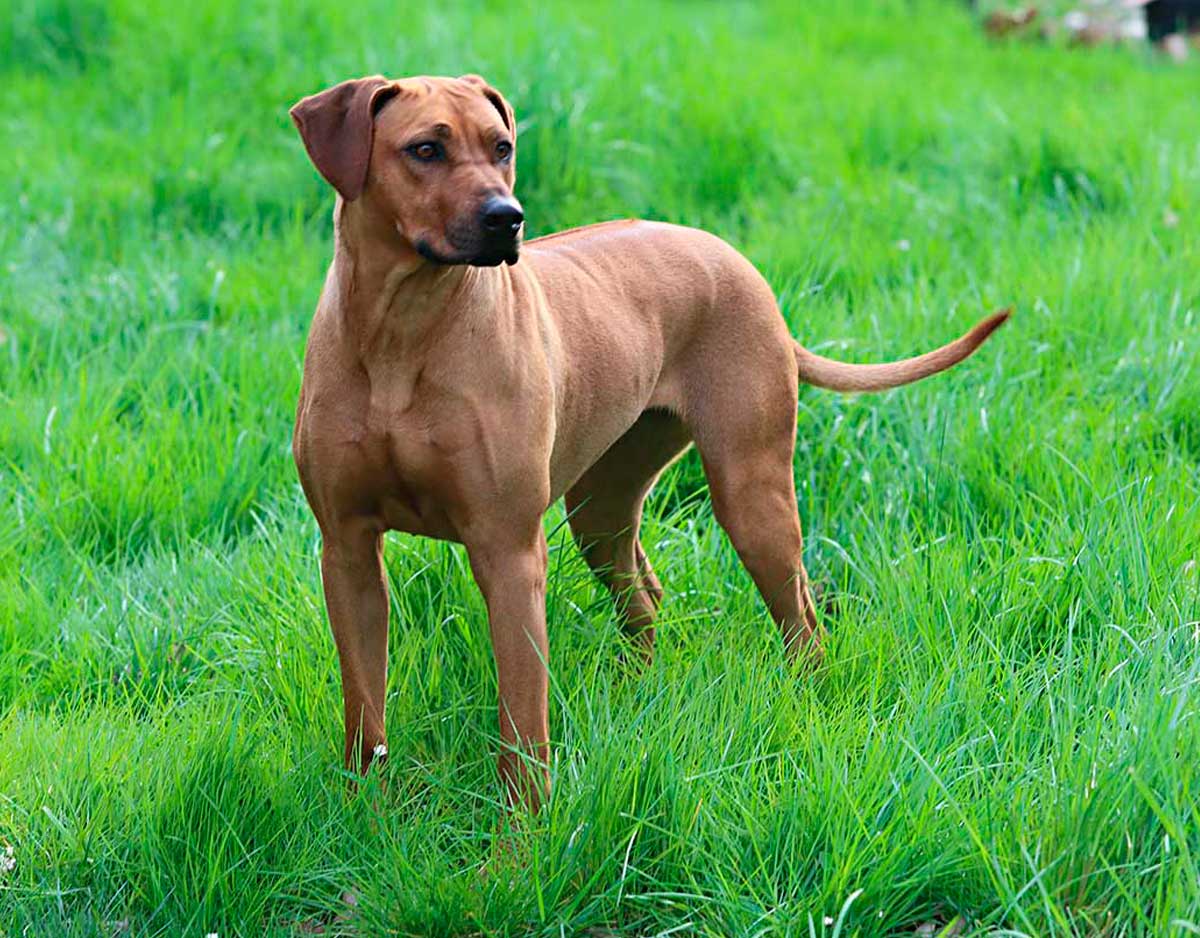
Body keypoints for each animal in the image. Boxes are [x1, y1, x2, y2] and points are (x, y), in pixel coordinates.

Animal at [290, 73, 1012, 810]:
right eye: (425, 149)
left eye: (501, 148)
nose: (507, 216)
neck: (402, 331)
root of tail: (735, 257)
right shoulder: (347, 550)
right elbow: (364, 706)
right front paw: (362, 812)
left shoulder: (508, 551)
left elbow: (522, 726)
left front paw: (520, 835)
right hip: (600, 507)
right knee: (644, 596)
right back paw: (635, 692)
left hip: (750, 493)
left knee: (801, 617)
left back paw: (808, 706)